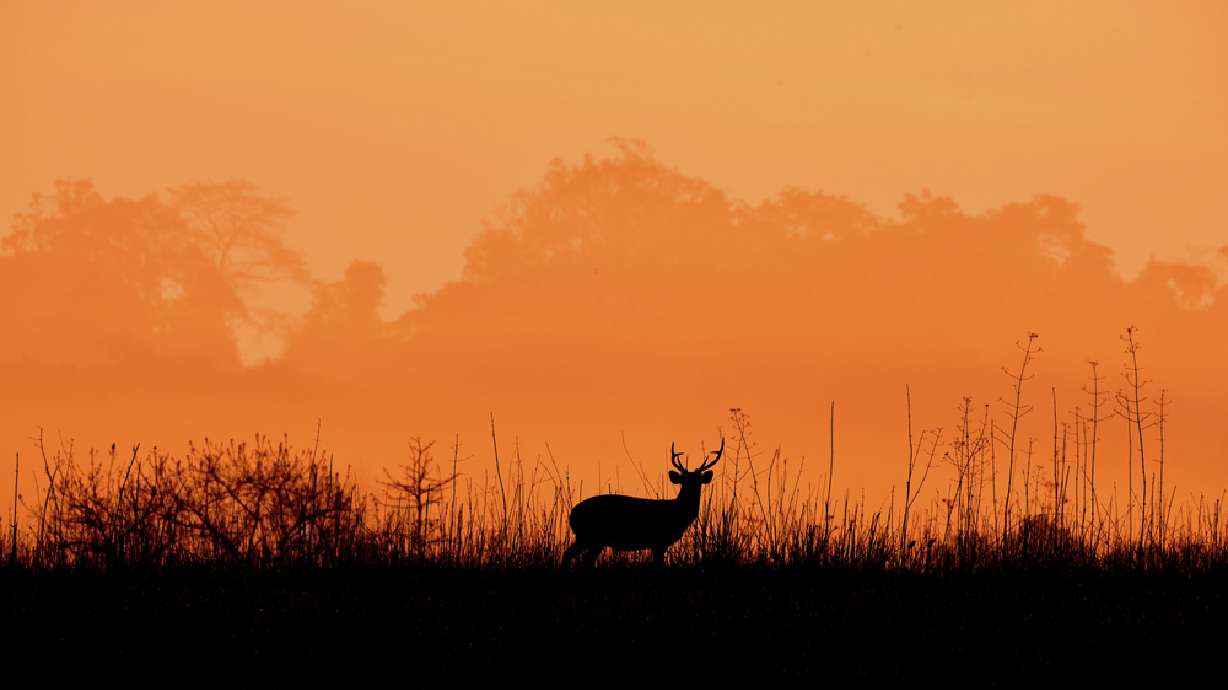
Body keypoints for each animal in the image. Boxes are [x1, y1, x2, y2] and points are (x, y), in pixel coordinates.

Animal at [562, 437, 723, 567]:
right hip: (590, 535)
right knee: (571, 555)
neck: (677, 513)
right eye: (683, 481)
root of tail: (572, 513)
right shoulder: (659, 541)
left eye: (698, 481)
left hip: (592, 538)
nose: (690, 491)